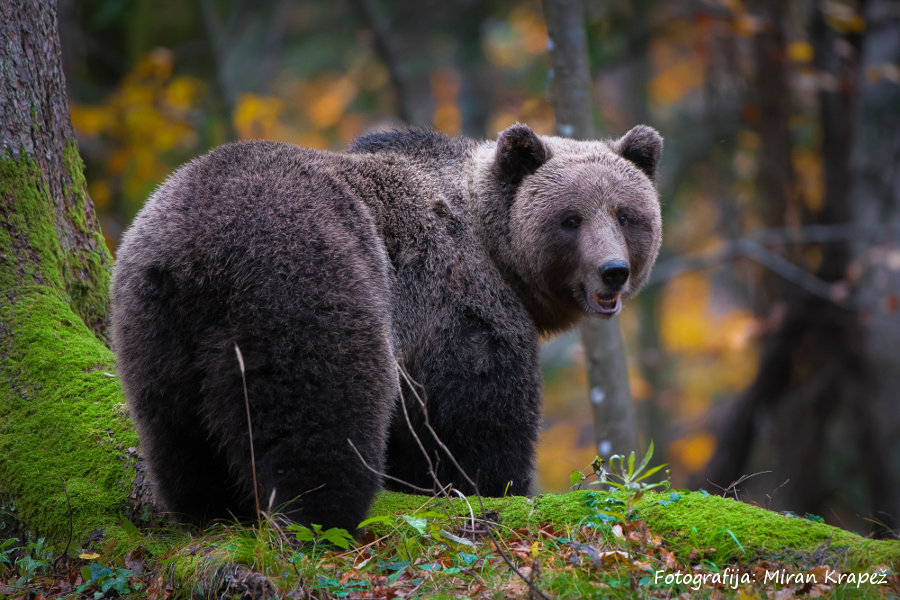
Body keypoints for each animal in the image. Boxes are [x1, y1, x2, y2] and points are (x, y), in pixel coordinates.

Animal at [110, 122, 660, 528]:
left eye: (626, 214)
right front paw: (495, 488)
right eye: (571, 218)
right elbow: (472, 420)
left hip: (152, 318)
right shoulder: (456, 307)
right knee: (322, 411)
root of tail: (201, 247)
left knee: (176, 425)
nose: (613, 270)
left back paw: (210, 507)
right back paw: (322, 514)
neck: (499, 255)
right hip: (309, 276)